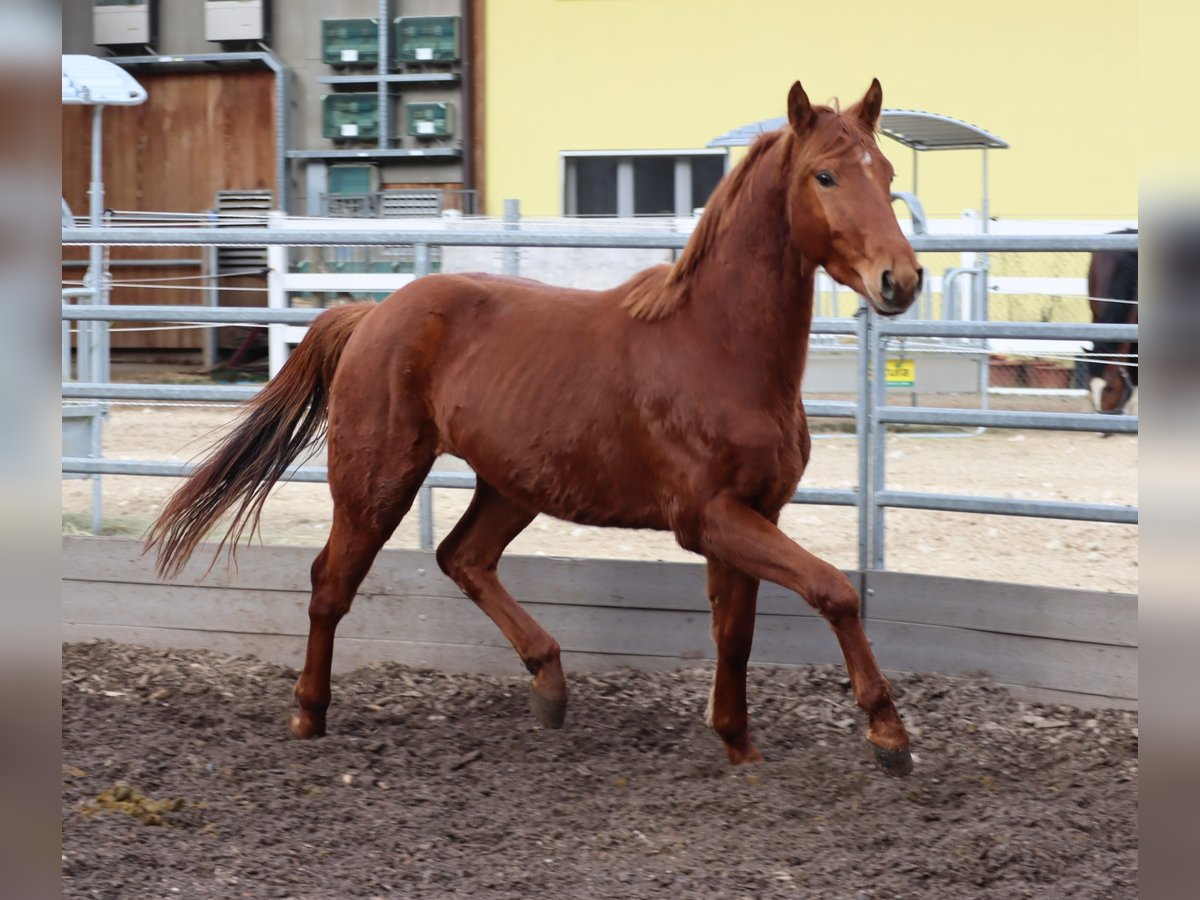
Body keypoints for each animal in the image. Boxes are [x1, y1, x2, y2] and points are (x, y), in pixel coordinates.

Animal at [147, 81, 916, 777]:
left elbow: (736, 633)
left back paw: (549, 684)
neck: (717, 348)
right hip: (376, 484)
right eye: (825, 175)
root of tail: (369, 314)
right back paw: (309, 714)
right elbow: (834, 591)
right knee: (332, 582)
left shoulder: (753, 514)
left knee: (462, 557)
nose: (900, 280)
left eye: (887, 173)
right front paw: (887, 734)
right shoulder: (710, 518)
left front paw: (740, 747)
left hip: (513, 486)